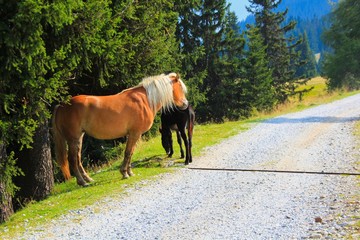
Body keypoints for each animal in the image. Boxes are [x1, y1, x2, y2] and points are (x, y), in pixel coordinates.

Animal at [53, 72, 188, 186]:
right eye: (180, 87)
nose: (185, 104)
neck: (145, 99)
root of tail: (62, 105)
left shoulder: (134, 134)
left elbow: (131, 152)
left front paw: (129, 172)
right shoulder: (135, 133)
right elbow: (128, 152)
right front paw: (124, 173)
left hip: (79, 137)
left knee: (78, 159)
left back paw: (88, 179)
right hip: (73, 138)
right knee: (72, 159)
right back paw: (82, 182)